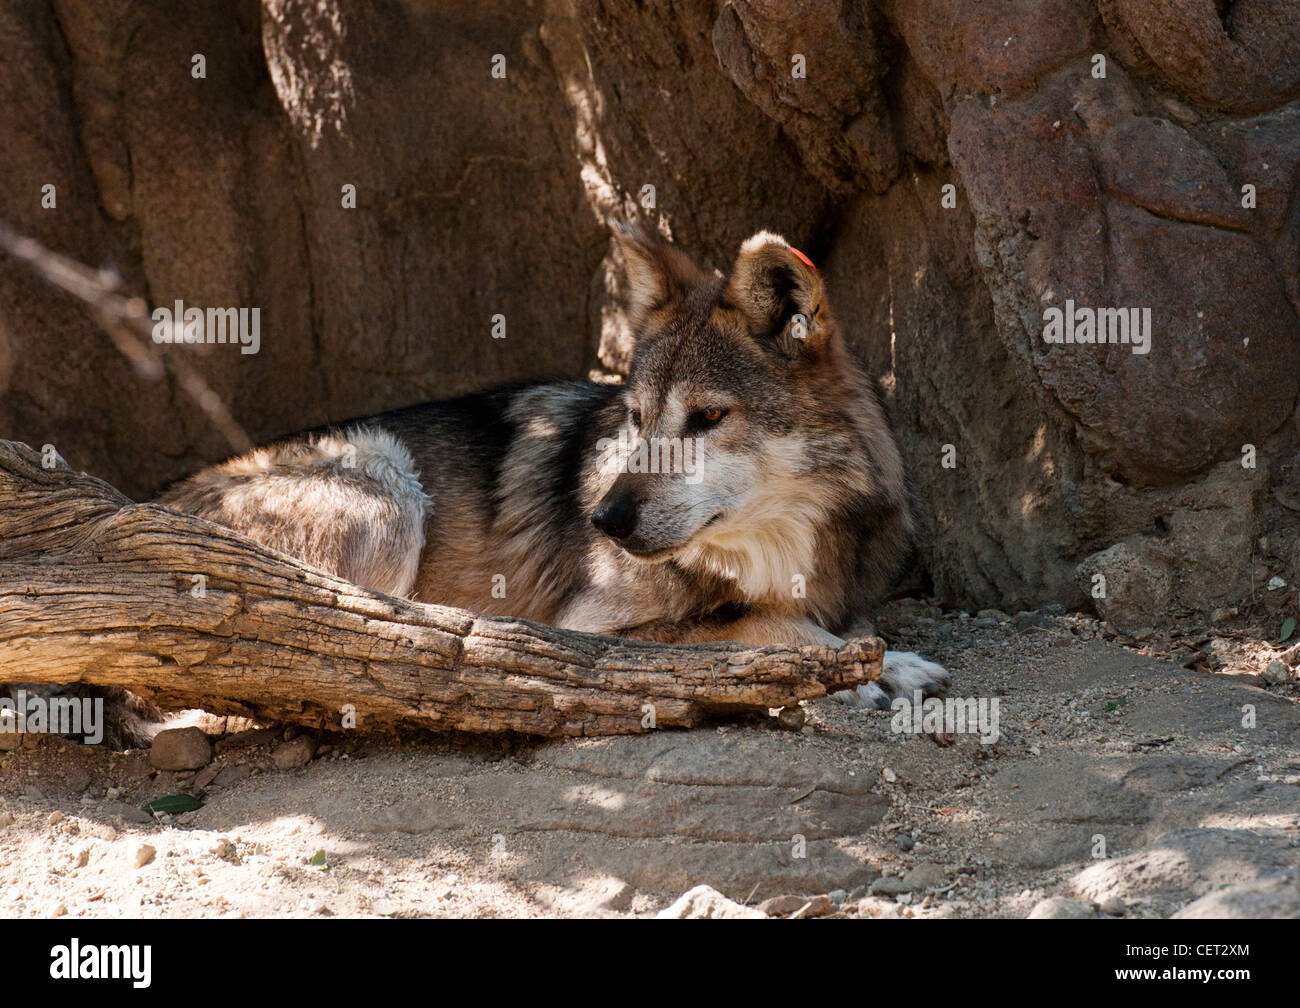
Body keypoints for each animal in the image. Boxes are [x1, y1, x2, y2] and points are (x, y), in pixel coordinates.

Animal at [159, 228, 946, 707]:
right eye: (637, 418)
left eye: (707, 418)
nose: (604, 519)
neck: (774, 554)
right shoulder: (596, 631)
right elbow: (752, 624)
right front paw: (842, 671)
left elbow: (851, 627)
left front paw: (887, 660)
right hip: (385, 483)